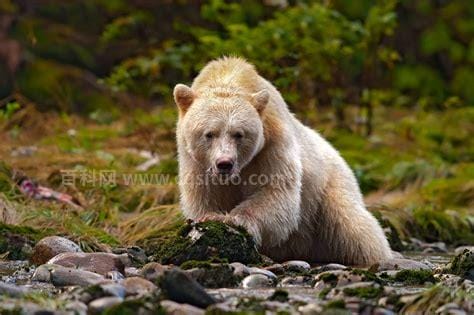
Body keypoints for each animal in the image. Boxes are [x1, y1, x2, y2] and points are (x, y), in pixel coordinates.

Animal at [174, 57, 392, 266]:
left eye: (238, 134)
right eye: (209, 134)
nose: (224, 163)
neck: (230, 76)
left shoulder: (272, 145)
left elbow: (276, 191)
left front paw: (231, 218)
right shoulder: (194, 159)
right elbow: (204, 194)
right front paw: (209, 215)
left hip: (327, 189)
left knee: (354, 226)